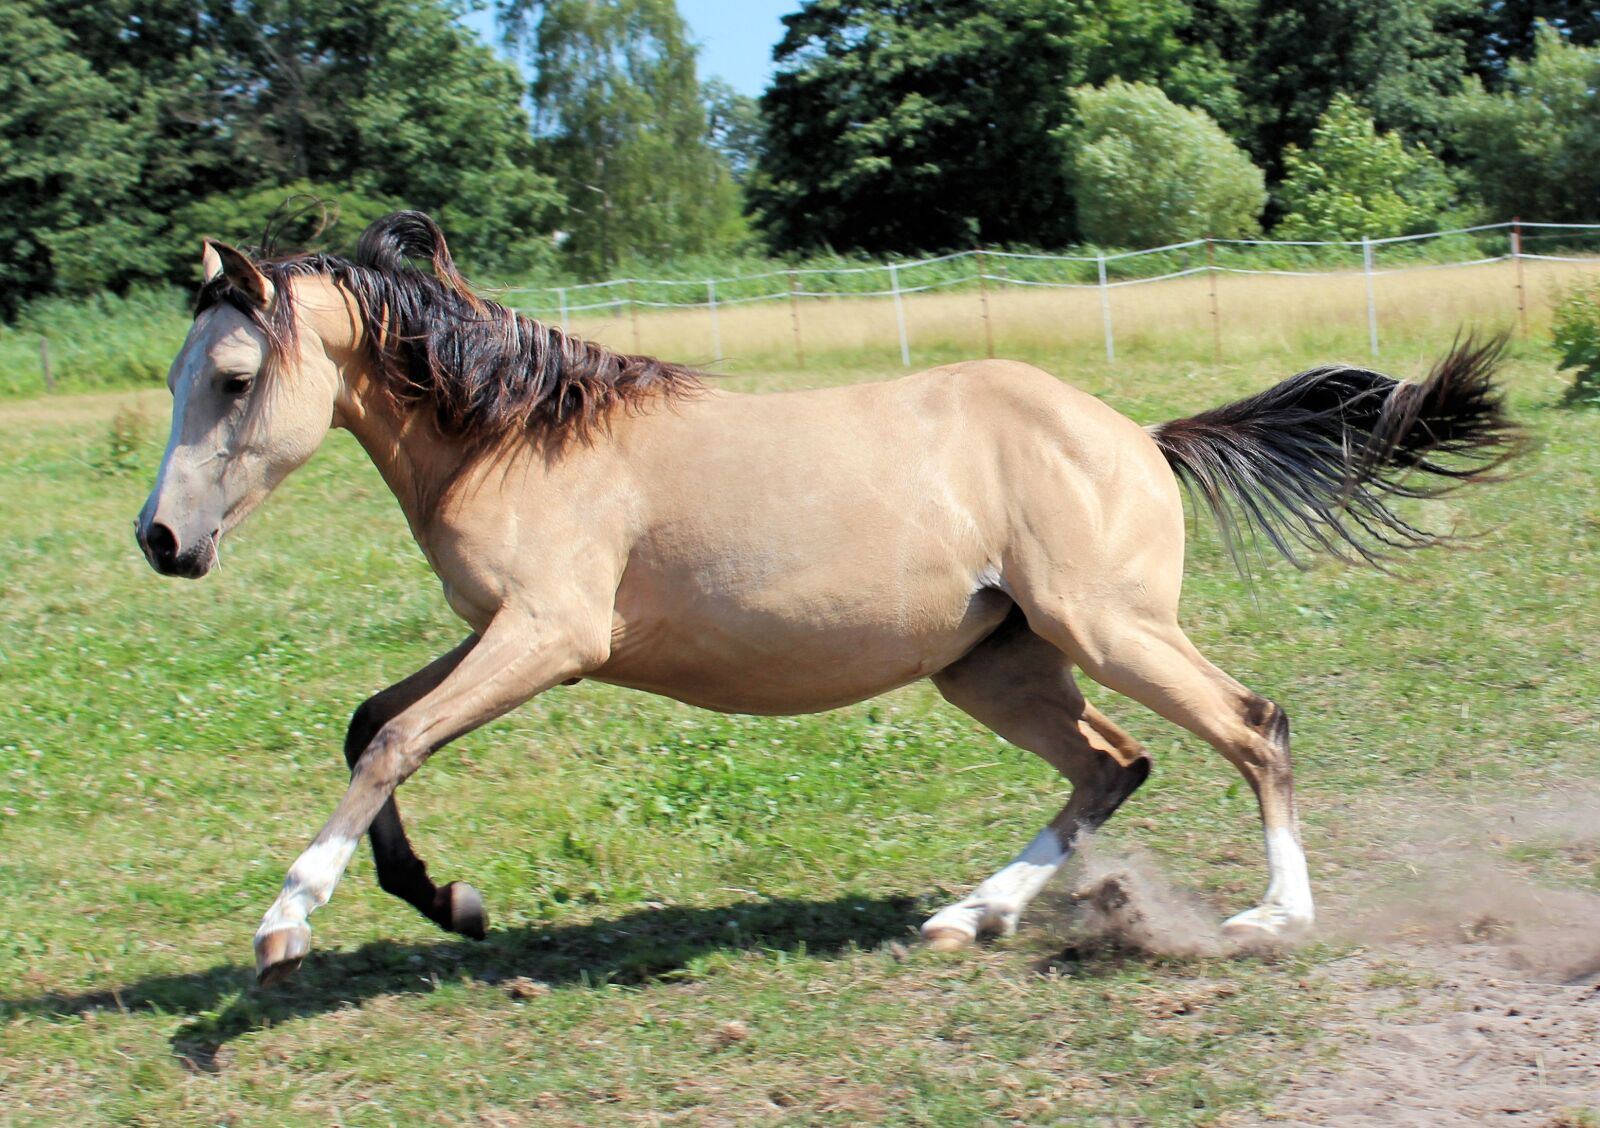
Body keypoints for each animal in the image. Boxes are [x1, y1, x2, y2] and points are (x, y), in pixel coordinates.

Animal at [135, 212, 1522, 986]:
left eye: (235, 377)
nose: (162, 540)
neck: (521, 438)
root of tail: (1137, 436)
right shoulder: (498, 636)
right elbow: (370, 724)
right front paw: (451, 902)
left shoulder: (546, 637)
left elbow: (399, 740)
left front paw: (286, 924)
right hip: (996, 663)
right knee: (1110, 765)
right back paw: (969, 915)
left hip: (1109, 628)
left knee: (1251, 727)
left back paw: (1271, 919)